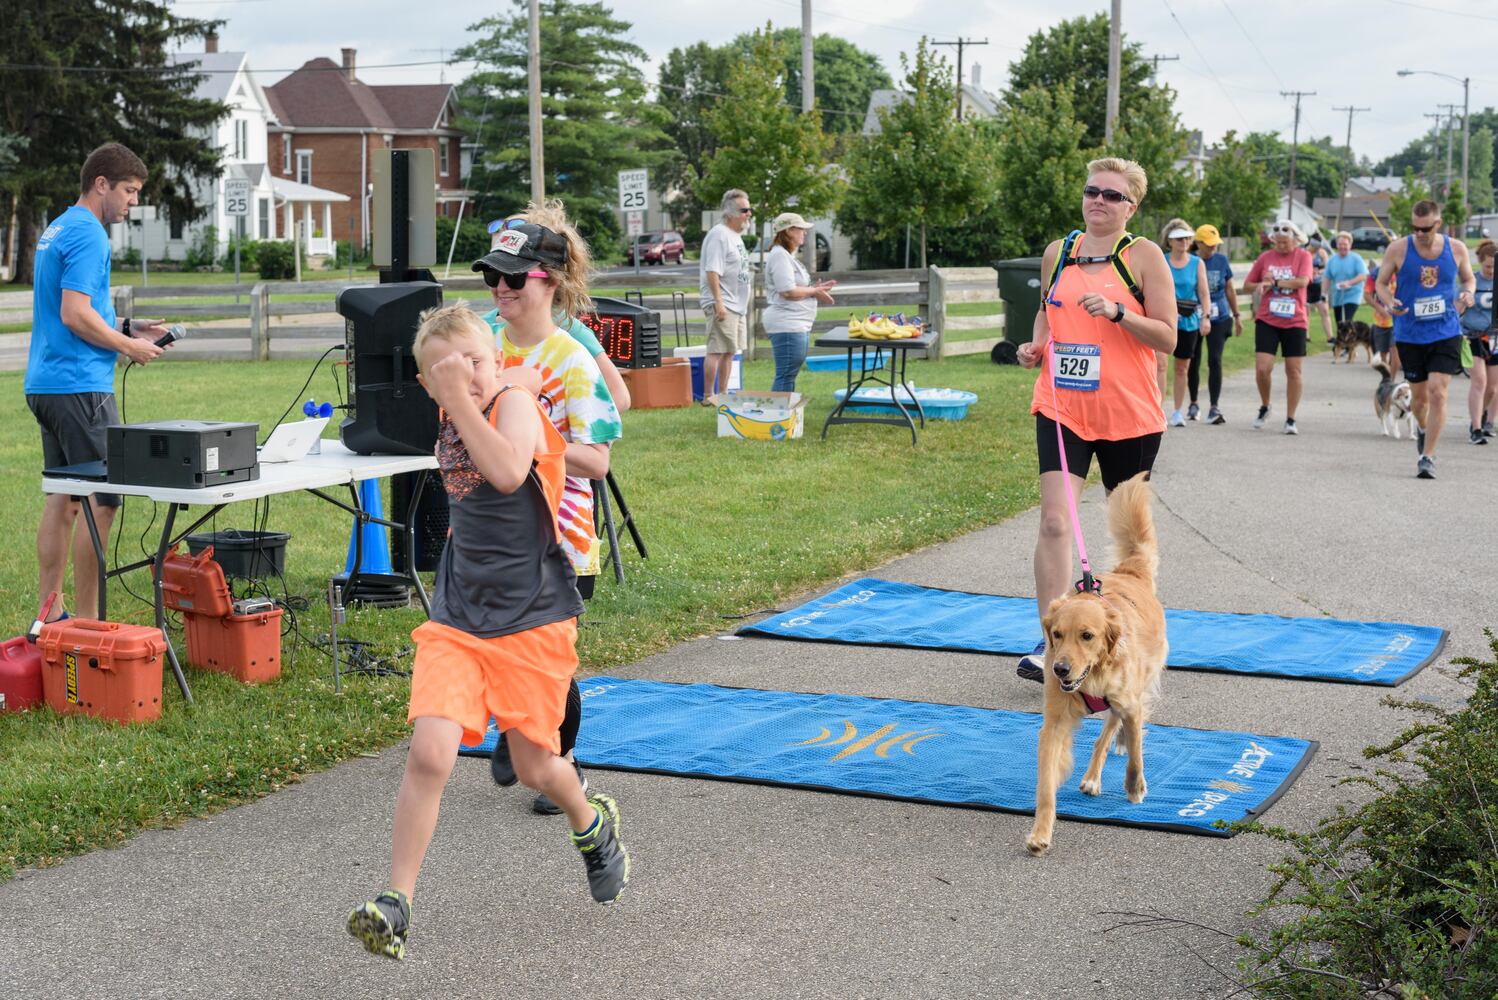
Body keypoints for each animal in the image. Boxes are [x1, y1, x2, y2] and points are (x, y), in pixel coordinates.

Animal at [1030, 473, 1168, 856]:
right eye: (1056, 634)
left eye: (1087, 636)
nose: (1060, 669)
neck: (1092, 677)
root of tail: (1131, 571)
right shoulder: (1054, 722)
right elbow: (1045, 784)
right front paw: (1040, 833)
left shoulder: (1131, 702)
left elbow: (1136, 754)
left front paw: (1135, 788)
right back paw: (1091, 776)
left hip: (1135, 689)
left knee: (1111, 732)